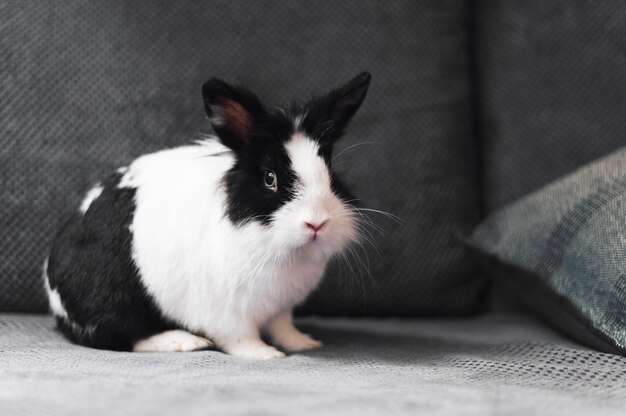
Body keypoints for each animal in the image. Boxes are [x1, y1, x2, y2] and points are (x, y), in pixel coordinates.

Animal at [45, 70, 370, 358]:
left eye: (331, 174)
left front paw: (303, 343)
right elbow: (241, 337)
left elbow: (283, 327)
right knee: (121, 337)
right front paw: (266, 354)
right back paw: (184, 342)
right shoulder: (227, 311)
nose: (317, 223)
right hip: (116, 302)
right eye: (270, 178)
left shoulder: (281, 307)